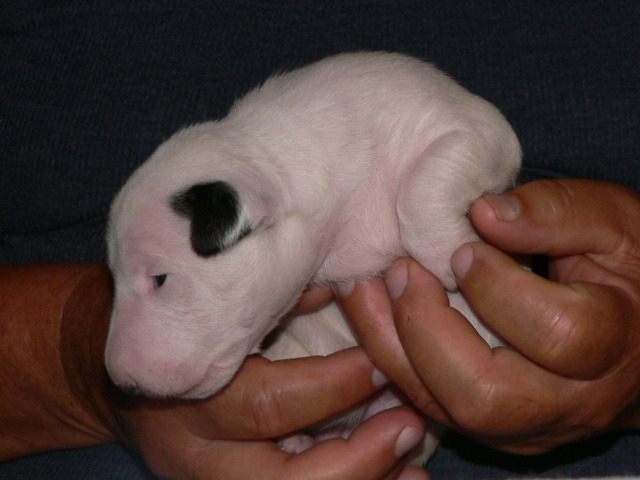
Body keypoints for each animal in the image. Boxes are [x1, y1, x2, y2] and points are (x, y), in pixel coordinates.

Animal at [105, 51, 521, 464]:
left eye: (159, 278)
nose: (120, 381)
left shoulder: (470, 127)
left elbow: (425, 179)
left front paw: (449, 252)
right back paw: (298, 442)